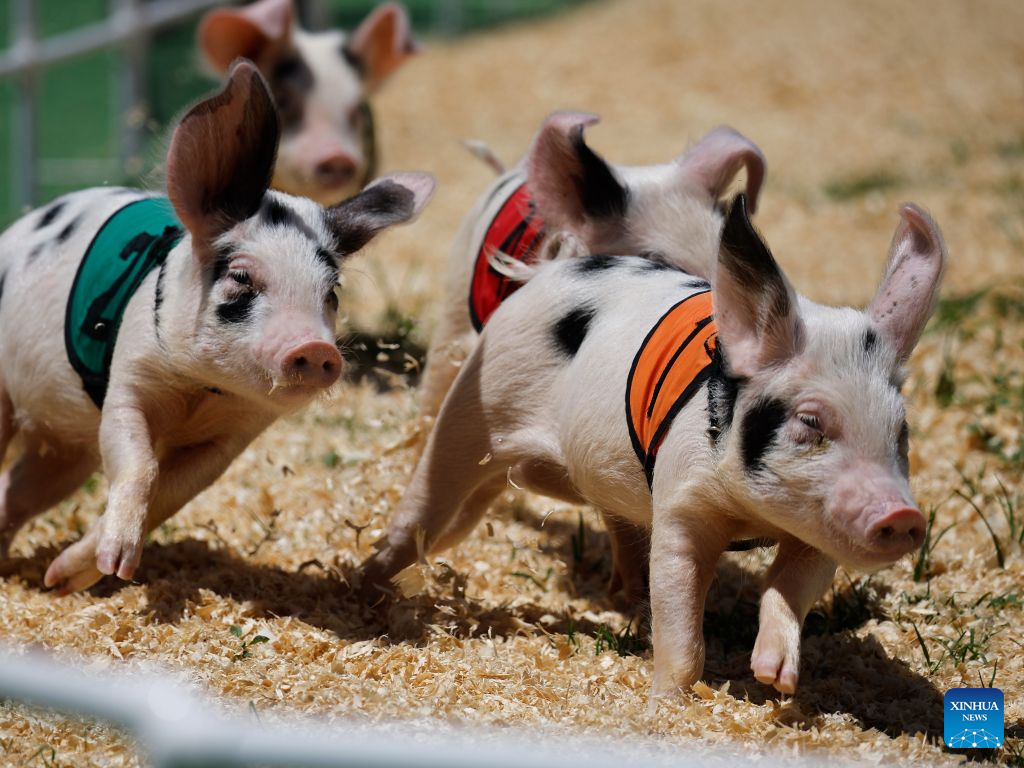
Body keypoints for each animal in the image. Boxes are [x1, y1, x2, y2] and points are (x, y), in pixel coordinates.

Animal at [0, 60, 434, 594]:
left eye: (331, 292)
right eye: (241, 277)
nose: (317, 348)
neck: (203, 388)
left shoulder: (232, 436)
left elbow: (170, 494)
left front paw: (68, 578)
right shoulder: (127, 381)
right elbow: (138, 463)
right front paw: (117, 566)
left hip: (64, 445)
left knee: (21, 488)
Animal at [361, 193, 945, 696]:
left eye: (900, 430)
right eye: (810, 420)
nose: (903, 516)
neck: (748, 515)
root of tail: (550, 270)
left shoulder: (817, 532)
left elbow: (790, 585)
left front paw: (774, 680)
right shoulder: (681, 502)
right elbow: (680, 611)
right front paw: (668, 702)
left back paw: (624, 593)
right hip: (474, 409)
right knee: (426, 506)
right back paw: (368, 587)